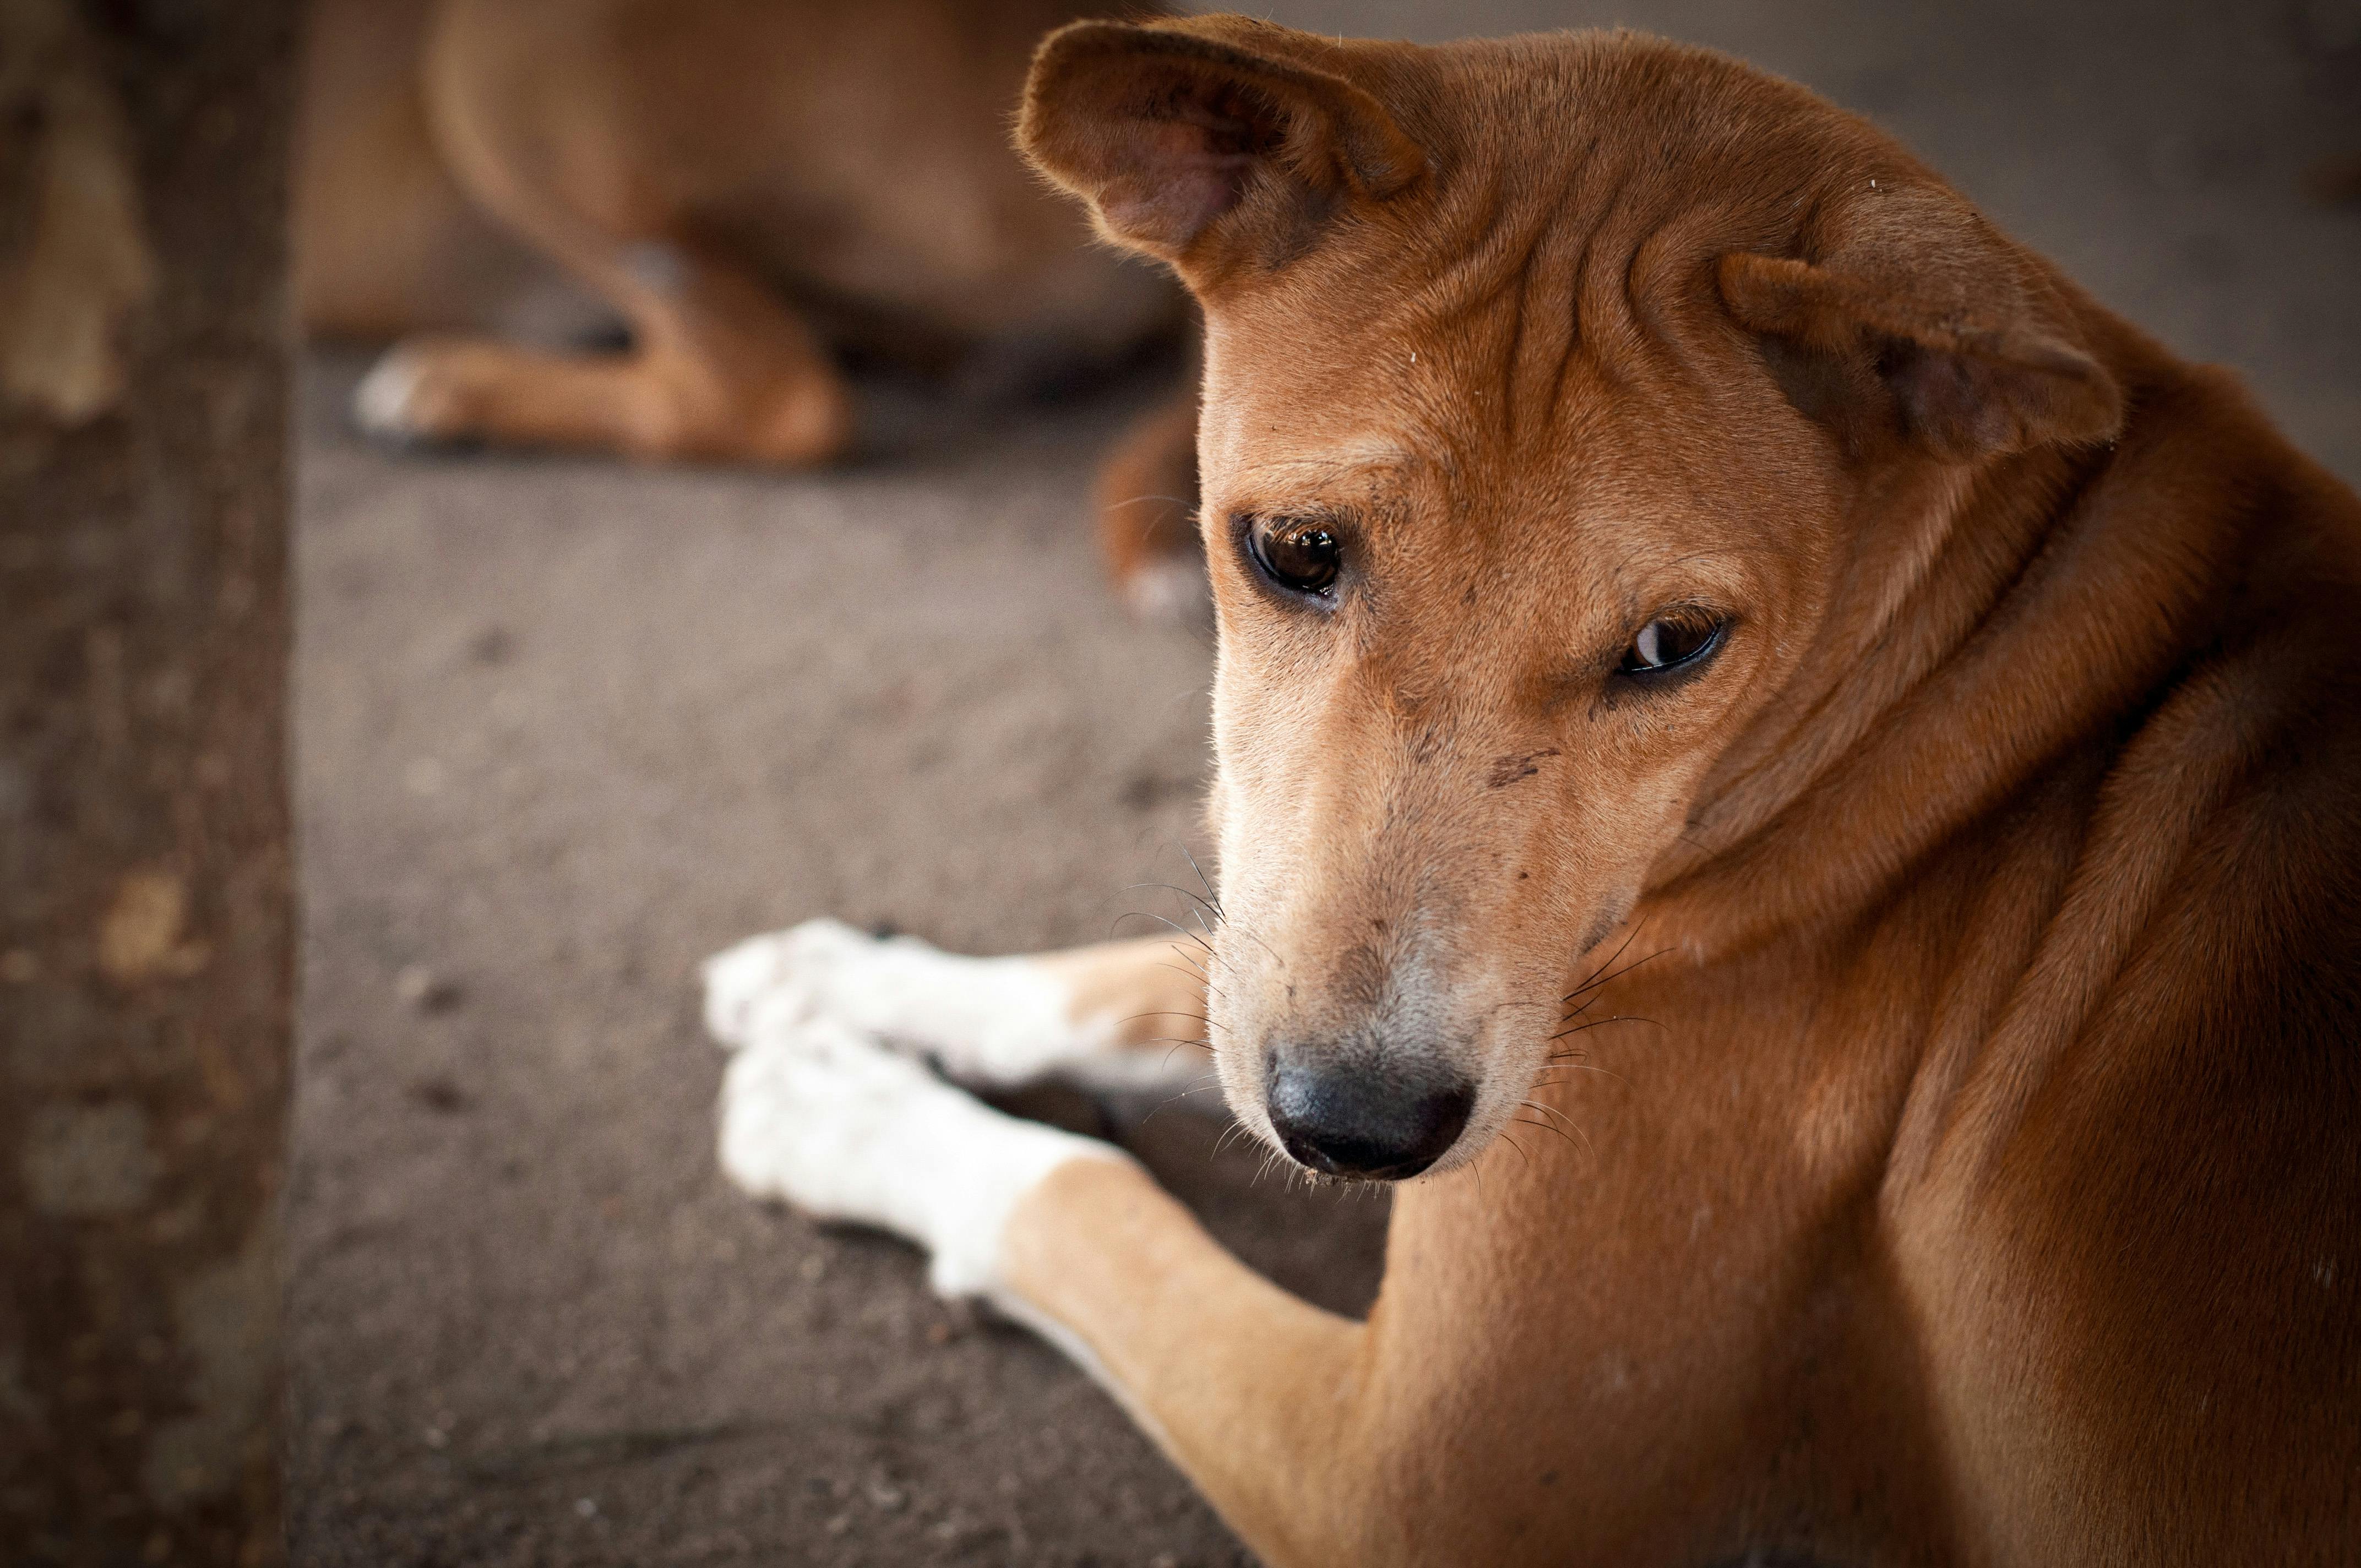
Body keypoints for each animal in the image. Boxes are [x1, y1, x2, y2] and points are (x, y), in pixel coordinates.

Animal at [699, 15, 2361, 1567]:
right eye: (1291, 550)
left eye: (1676, 644)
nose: (1354, 1132)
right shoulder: (1336, 969)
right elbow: (1160, 981)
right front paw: (848, 983)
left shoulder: (1414, 1480)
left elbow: (1085, 1195)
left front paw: (844, 1110)